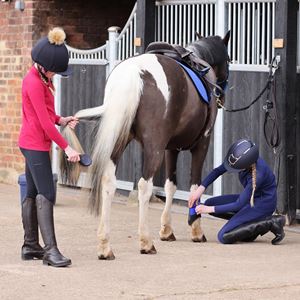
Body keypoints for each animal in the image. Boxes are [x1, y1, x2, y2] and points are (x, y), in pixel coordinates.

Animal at [60, 31, 230, 258]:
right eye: (229, 59)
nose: (222, 94)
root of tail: (134, 74)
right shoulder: (201, 143)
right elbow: (195, 186)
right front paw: (195, 230)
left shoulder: (171, 148)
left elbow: (170, 185)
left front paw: (167, 229)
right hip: (153, 148)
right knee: (144, 186)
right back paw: (146, 242)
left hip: (119, 140)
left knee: (108, 181)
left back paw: (105, 245)